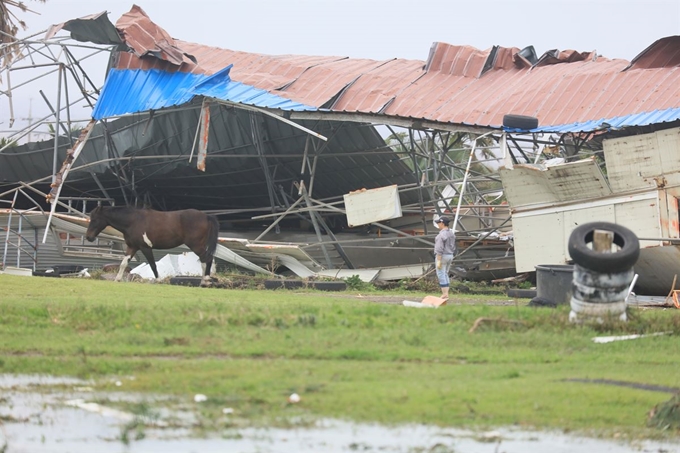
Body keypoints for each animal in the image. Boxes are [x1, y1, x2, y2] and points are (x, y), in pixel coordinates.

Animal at [84, 205, 218, 282]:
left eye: (94, 219)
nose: (88, 237)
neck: (133, 221)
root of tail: (206, 216)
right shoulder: (132, 247)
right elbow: (123, 264)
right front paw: (117, 279)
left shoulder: (145, 247)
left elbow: (153, 265)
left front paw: (158, 280)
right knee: (204, 260)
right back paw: (204, 279)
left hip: (196, 245)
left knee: (208, 258)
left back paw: (206, 279)